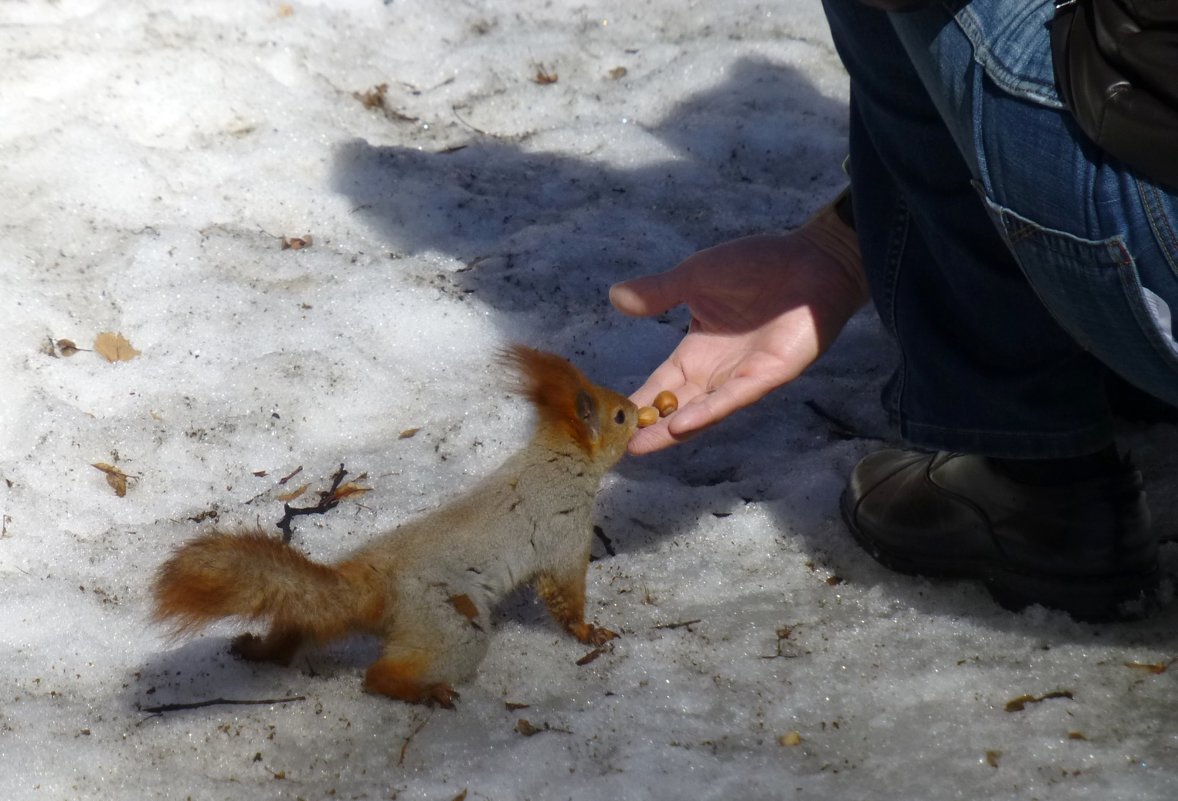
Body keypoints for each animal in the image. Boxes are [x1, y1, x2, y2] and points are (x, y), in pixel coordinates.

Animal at [155, 343, 640, 706]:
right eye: (618, 416)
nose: (638, 409)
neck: (561, 461)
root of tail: (370, 589)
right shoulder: (563, 532)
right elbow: (564, 594)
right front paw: (589, 632)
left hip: (316, 615)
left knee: (296, 629)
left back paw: (256, 649)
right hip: (450, 624)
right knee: (378, 674)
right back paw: (422, 692)